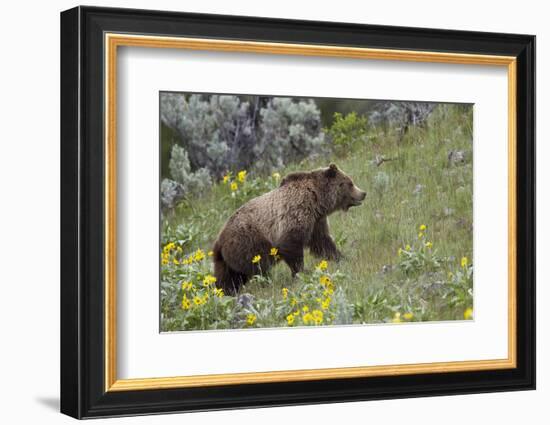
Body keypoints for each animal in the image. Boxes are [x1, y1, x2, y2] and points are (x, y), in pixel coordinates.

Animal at [213, 164, 368, 294]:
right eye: (350, 183)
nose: (363, 193)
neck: (317, 200)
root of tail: (219, 241)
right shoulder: (294, 214)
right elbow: (292, 246)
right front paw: (300, 273)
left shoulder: (316, 221)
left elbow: (322, 243)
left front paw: (343, 258)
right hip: (248, 244)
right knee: (258, 269)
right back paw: (265, 283)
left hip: (228, 260)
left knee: (229, 277)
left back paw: (225, 291)